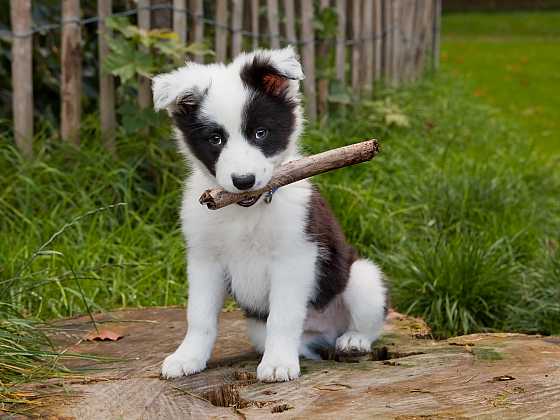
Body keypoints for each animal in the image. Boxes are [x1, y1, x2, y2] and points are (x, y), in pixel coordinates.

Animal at [153, 47, 390, 382]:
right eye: (215, 139)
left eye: (260, 133)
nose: (243, 181)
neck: (244, 213)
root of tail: (325, 331)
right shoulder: (204, 260)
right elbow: (199, 316)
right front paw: (188, 357)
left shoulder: (294, 256)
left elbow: (283, 316)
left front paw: (278, 364)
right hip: (257, 328)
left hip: (362, 277)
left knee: (370, 323)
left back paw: (353, 340)